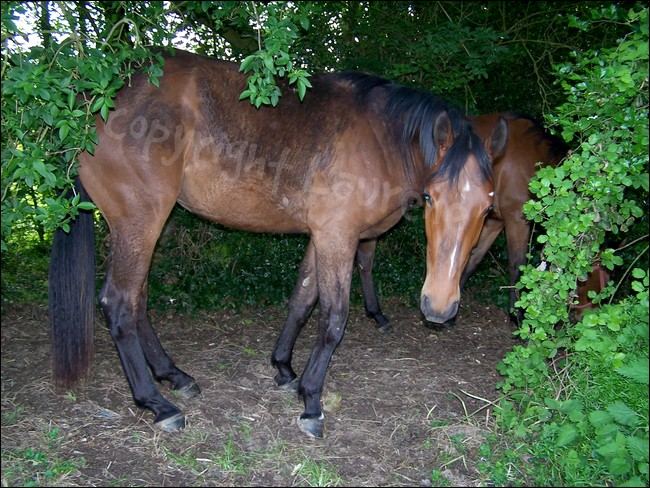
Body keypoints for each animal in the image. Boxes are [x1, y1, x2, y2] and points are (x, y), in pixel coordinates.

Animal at [50, 50, 506, 438]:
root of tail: (94, 99)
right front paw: (312, 401)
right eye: (431, 198)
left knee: (138, 299)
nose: (439, 306)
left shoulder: (322, 236)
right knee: (120, 303)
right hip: (140, 221)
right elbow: (333, 318)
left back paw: (174, 375)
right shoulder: (338, 237)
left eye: (487, 207)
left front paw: (286, 369)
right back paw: (158, 403)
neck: (380, 139)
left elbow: (302, 300)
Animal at [356, 112, 564, 330]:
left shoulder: (492, 222)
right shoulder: (516, 219)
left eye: (487, 208)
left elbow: (473, 259)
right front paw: (518, 314)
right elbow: (517, 265)